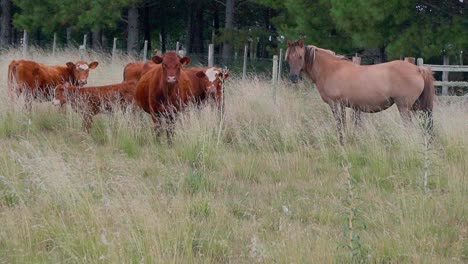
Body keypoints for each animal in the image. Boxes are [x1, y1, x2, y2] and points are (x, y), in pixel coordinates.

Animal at [286, 39, 436, 144]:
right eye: (288, 58)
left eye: (300, 56)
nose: (293, 77)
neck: (330, 69)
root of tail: (418, 69)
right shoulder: (342, 105)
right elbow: (343, 124)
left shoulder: (335, 104)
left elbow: (339, 124)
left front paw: (341, 143)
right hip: (417, 107)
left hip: (404, 107)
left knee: (408, 126)